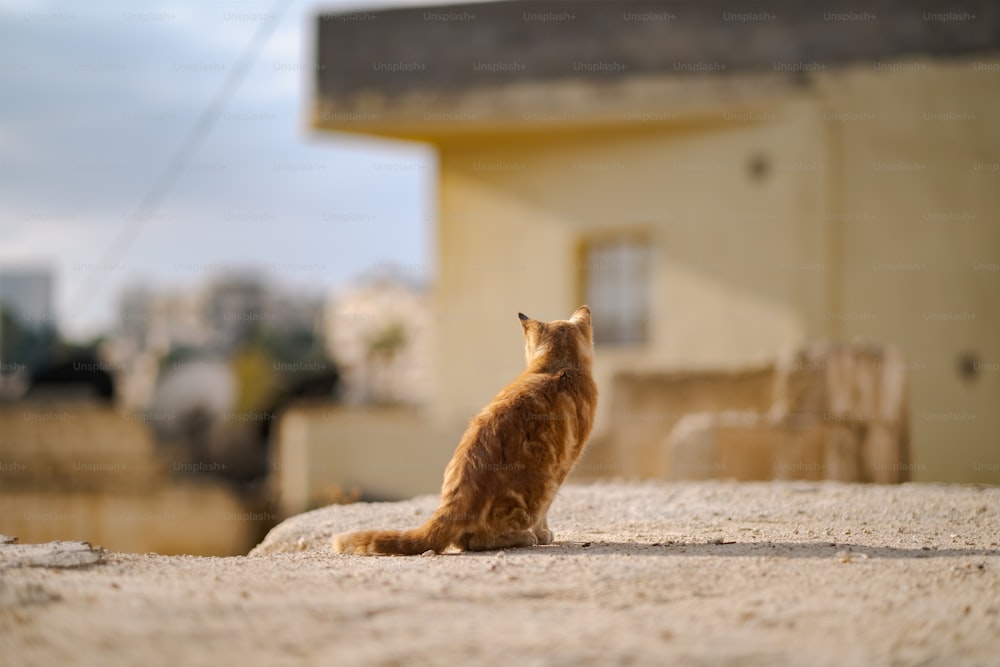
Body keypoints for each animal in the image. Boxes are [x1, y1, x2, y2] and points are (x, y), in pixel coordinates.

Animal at [336, 306, 596, 556]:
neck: (558, 367)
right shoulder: (564, 466)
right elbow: (544, 516)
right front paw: (543, 534)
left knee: (464, 541)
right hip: (544, 484)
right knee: (480, 540)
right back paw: (524, 537)